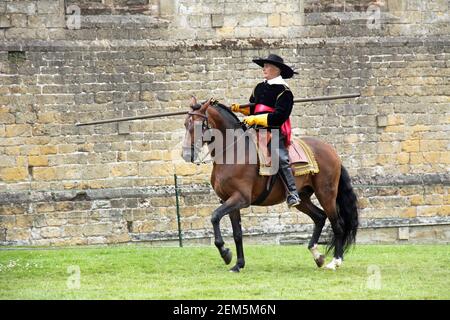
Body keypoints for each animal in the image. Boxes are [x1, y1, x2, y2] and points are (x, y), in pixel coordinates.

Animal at [180, 97, 358, 272]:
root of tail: (332, 151)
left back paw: (335, 261)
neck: (233, 152)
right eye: (185, 124)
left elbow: (215, 216)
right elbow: (237, 233)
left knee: (337, 224)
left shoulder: (240, 199)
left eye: (199, 125)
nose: (186, 154)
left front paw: (225, 253)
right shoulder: (229, 201)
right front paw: (238, 264)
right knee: (320, 217)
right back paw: (317, 255)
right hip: (303, 198)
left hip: (326, 194)